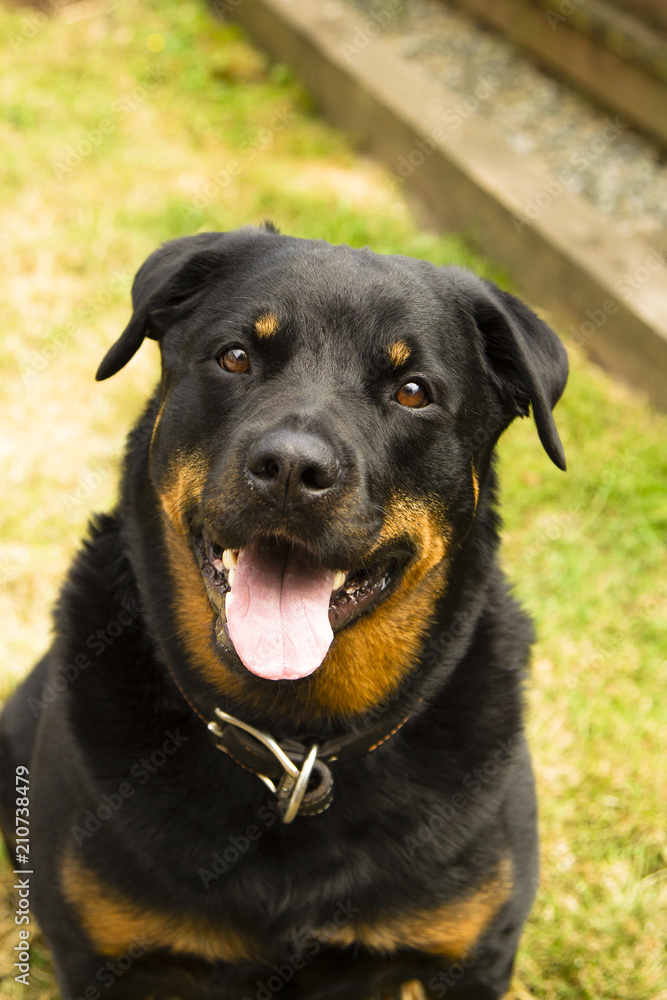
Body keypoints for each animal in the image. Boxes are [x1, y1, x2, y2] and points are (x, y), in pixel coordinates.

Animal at [0, 227, 568, 1000]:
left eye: (413, 391)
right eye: (236, 356)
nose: (293, 470)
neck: (295, 743)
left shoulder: (474, 958)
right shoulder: (99, 958)